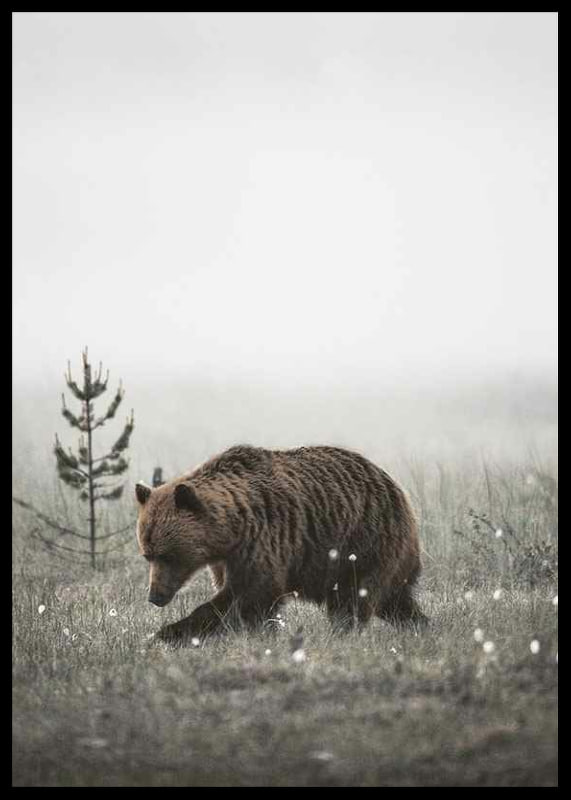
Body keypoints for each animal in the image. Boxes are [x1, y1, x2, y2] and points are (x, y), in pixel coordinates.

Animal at [135, 444, 426, 644]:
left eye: (168, 555)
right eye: (147, 555)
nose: (155, 596)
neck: (230, 531)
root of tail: (399, 490)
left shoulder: (262, 541)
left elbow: (250, 595)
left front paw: (169, 632)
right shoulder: (224, 559)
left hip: (363, 544)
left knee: (354, 597)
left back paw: (342, 633)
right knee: (395, 601)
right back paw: (421, 625)